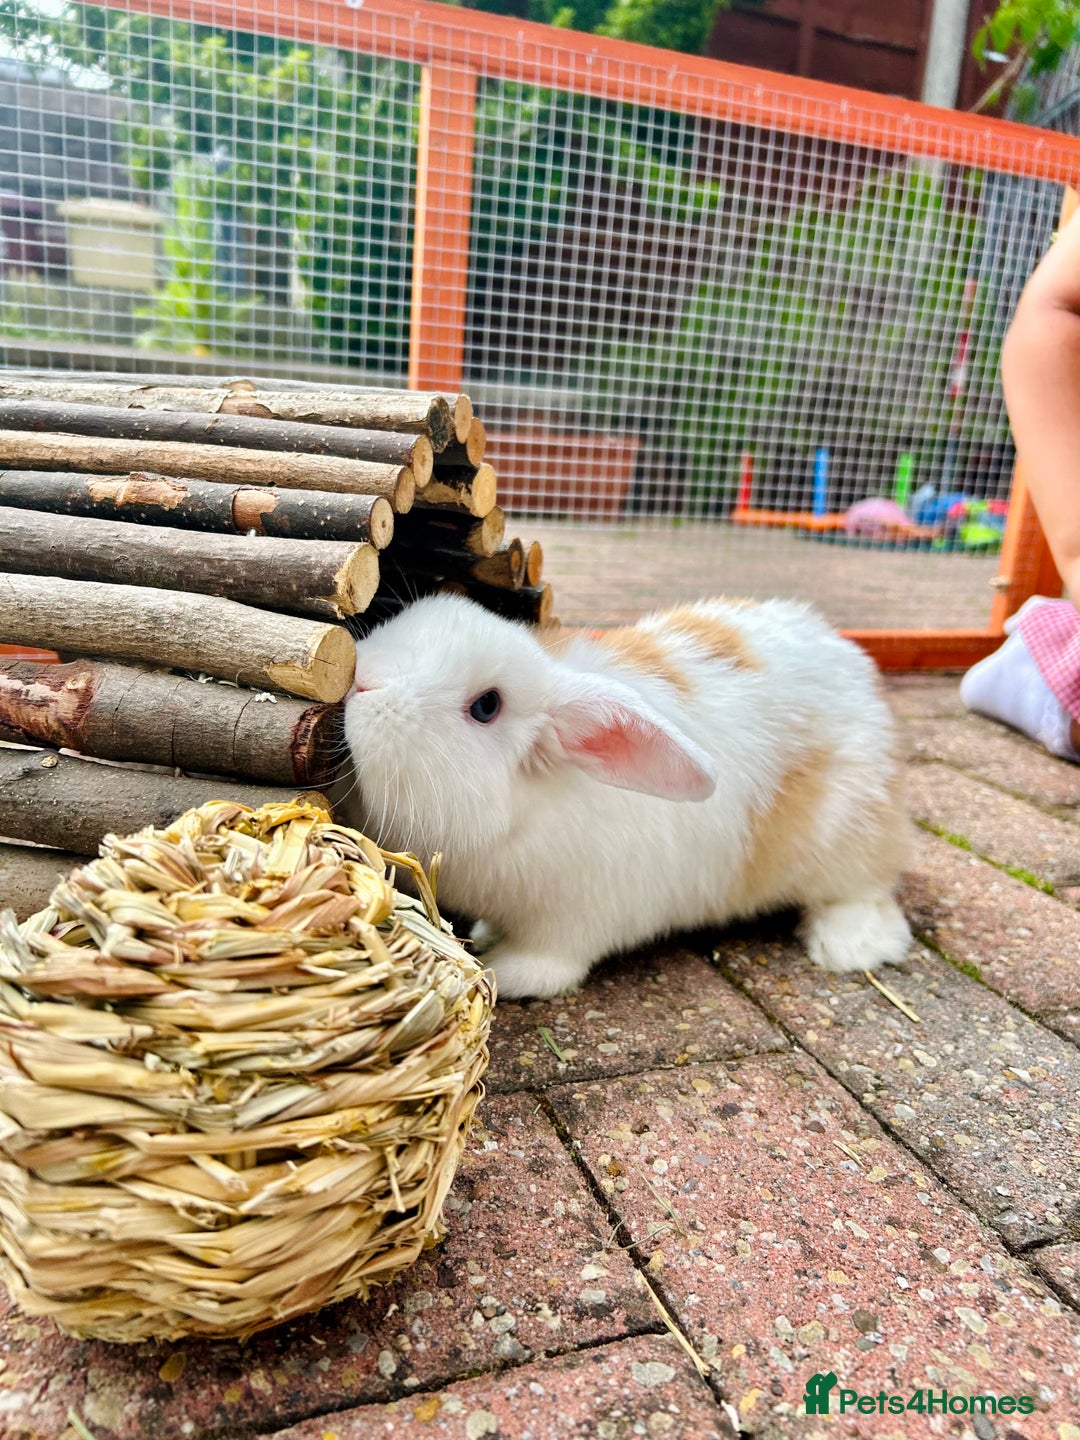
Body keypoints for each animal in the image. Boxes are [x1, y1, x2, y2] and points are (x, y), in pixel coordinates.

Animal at [341, 592, 912, 1000]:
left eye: (487, 705)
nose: (362, 680)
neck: (521, 813)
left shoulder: (577, 917)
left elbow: (553, 964)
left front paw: (507, 970)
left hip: (845, 841)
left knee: (868, 892)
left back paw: (849, 946)